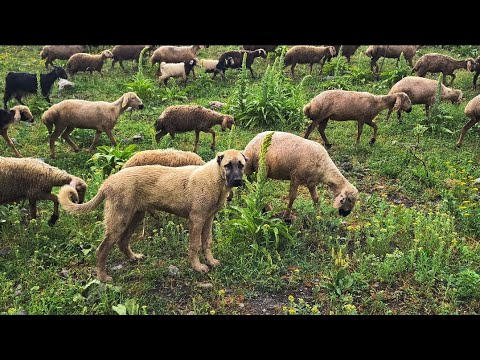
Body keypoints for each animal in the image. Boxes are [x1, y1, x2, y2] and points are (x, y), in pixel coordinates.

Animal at [58, 148, 248, 282]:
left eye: (241, 165)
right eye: (228, 165)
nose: (238, 181)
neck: (215, 179)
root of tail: (106, 183)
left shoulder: (208, 219)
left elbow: (207, 243)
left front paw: (210, 261)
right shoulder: (197, 219)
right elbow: (194, 246)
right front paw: (198, 267)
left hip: (135, 216)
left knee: (123, 242)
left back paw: (133, 258)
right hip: (119, 220)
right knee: (102, 249)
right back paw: (103, 278)